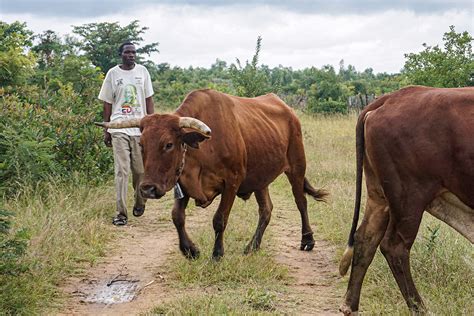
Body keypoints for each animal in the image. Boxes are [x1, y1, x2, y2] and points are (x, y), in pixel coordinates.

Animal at [96, 89, 326, 260]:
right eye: (141, 144)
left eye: (168, 144)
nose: (148, 189)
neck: (202, 149)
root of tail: (288, 110)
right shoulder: (182, 183)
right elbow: (177, 217)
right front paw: (190, 250)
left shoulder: (232, 182)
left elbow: (219, 219)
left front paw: (217, 254)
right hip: (260, 178)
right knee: (266, 210)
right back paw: (253, 246)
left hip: (297, 167)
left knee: (301, 202)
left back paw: (307, 240)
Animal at [338, 85, 472, 314]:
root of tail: (392, 97)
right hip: (408, 197)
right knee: (394, 247)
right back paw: (420, 308)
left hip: (379, 195)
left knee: (365, 238)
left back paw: (350, 305)